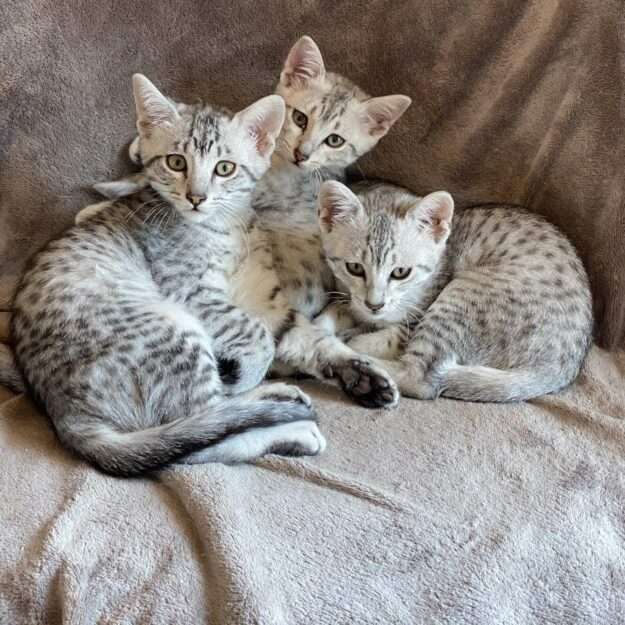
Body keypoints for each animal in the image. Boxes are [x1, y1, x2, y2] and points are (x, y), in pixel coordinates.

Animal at [9, 73, 324, 476]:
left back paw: (275, 396)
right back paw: (292, 428)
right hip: (174, 327)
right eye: (176, 162)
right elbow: (256, 332)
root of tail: (64, 415)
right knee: (202, 435)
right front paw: (250, 372)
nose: (196, 197)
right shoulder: (190, 292)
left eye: (225, 168)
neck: (223, 226)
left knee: (208, 421)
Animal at [314, 179, 592, 404]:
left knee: (421, 378)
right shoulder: (351, 298)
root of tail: (565, 366)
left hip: (463, 294)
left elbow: (385, 336)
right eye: (354, 268)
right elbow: (336, 311)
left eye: (401, 272)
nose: (375, 304)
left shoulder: (412, 320)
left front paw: (351, 340)